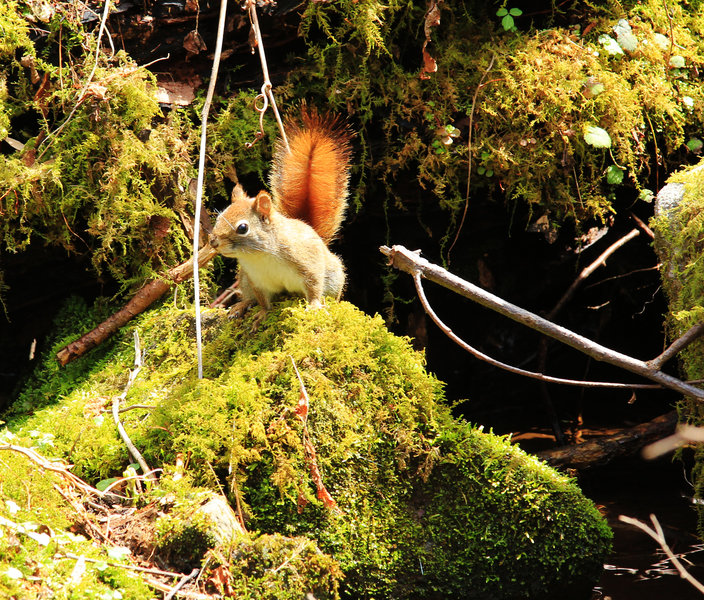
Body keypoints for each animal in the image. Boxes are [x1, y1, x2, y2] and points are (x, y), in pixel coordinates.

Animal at [209, 109, 352, 324]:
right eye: (218, 219)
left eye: (243, 228)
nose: (213, 242)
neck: (259, 256)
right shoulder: (257, 280)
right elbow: (262, 299)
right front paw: (262, 313)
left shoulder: (307, 263)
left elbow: (314, 285)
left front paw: (314, 306)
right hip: (244, 280)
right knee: (250, 296)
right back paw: (241, 305)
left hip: (334, 276)